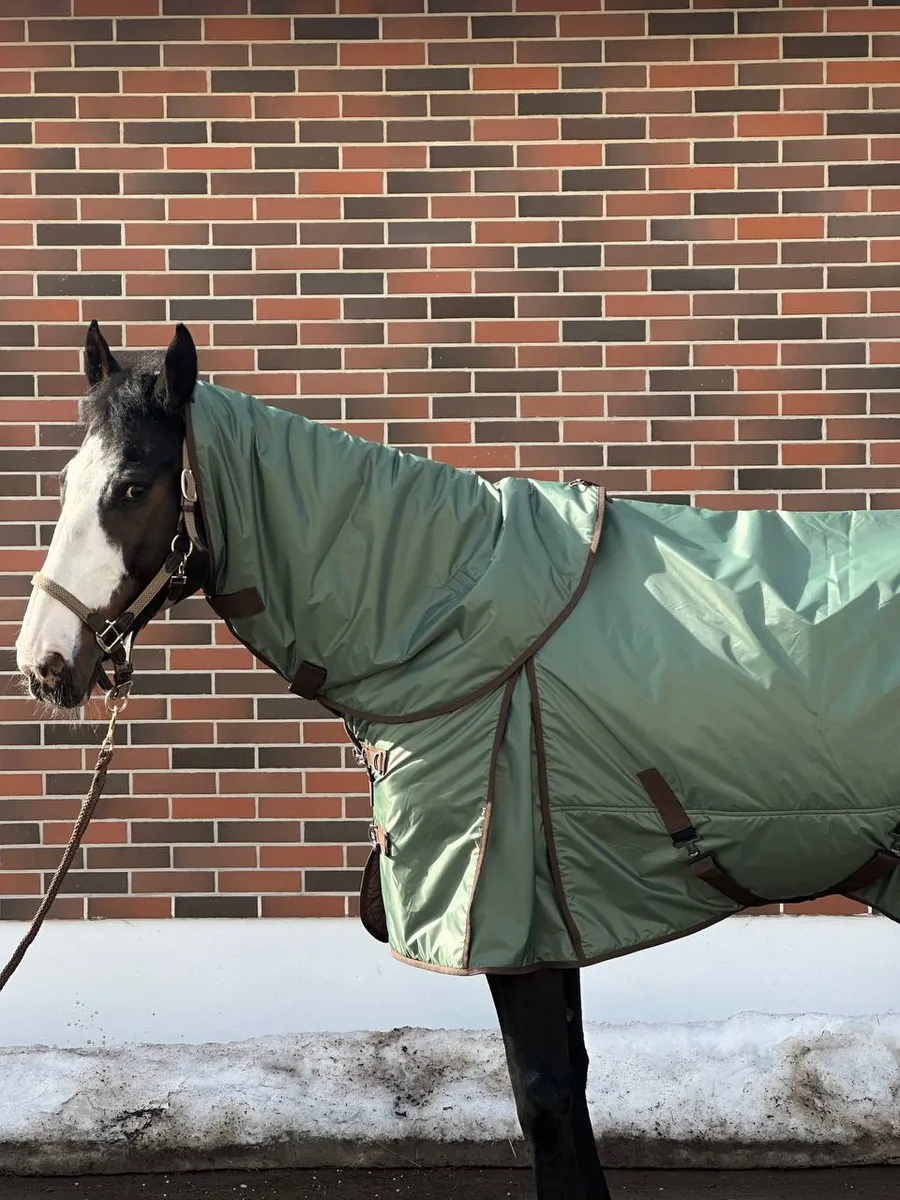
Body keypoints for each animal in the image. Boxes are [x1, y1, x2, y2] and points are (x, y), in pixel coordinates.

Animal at [16, 322, 613, 1200]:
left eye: (129, 487)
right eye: (63, 481)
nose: (42, 663)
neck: (456, 616)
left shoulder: (511, 913)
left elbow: (546, 1099)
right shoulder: (547, 917)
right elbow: (568, 1089)